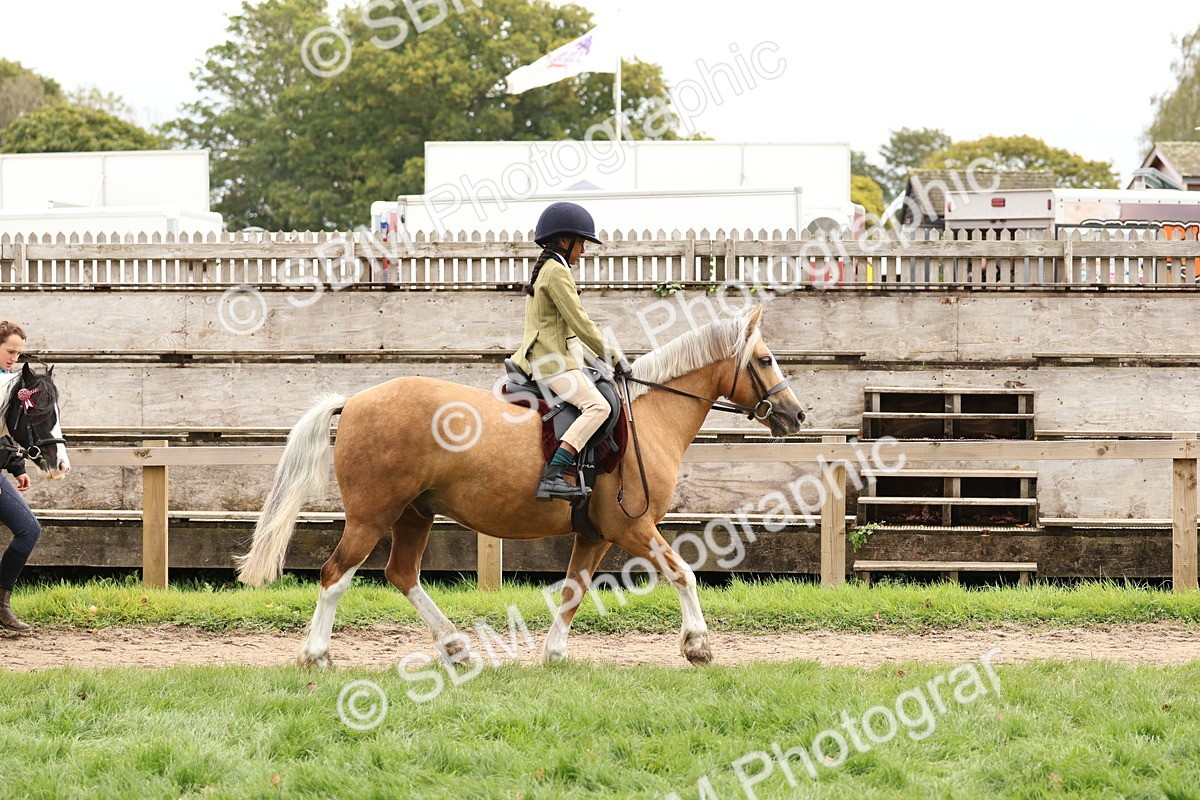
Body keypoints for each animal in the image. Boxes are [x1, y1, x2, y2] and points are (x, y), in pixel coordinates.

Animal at [236, 305, 806, 668]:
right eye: (764, 360)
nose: (797, 414)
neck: (647, 415)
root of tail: (353, 401)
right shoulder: (632, 527)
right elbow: (684, 574)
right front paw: (697, 646)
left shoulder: (595, 533)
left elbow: (575, 590)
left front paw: (554, 654)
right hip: (371, 516)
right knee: (336, 575)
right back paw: (317, 655)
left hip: (415, 514)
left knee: (402, 574)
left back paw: (455, 647)